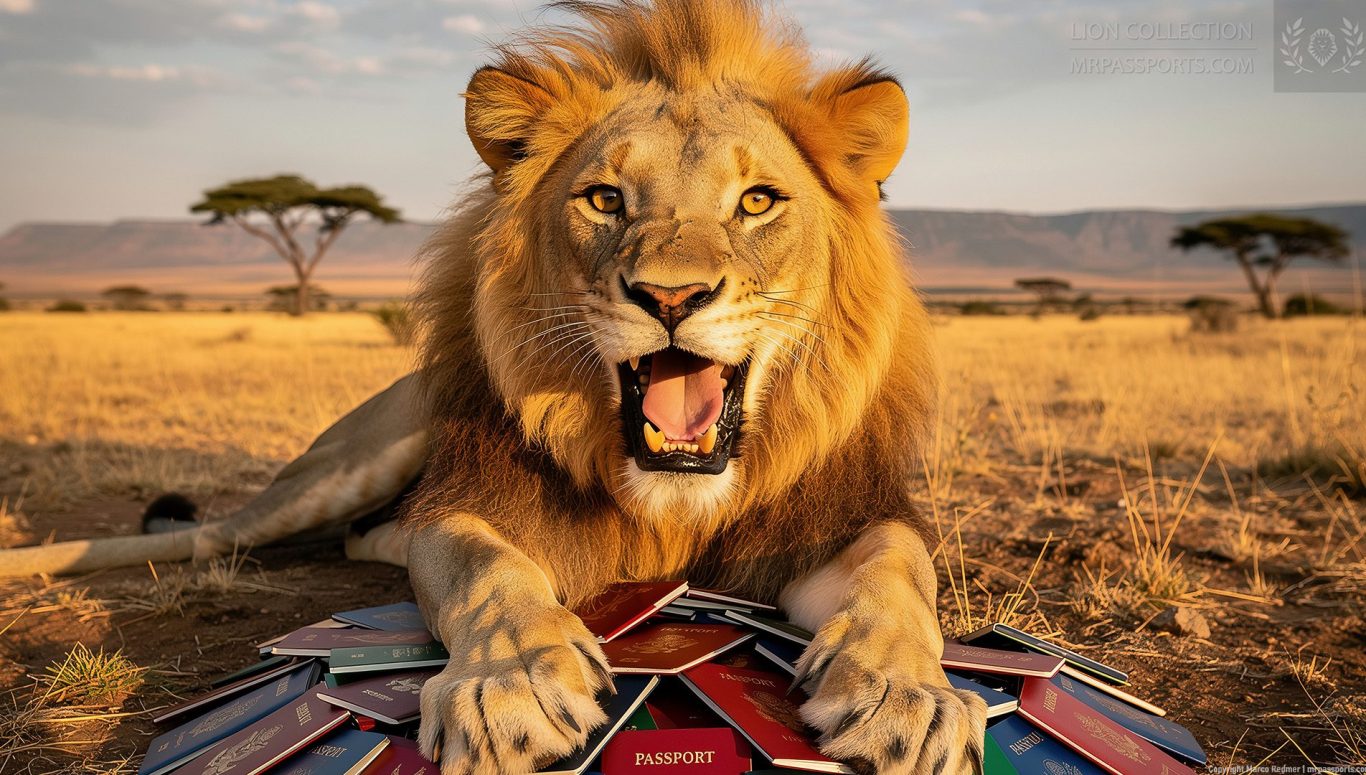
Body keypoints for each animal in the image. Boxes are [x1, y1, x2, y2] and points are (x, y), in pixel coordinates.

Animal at [0, 0, 988, 772]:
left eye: (756, 202)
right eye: (604, 199)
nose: (670, 296)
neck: (671, 497)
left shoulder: (837, 516)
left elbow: (900, 573)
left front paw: (908, 696)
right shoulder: (471, 503)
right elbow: (489, 569)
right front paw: (510, 685)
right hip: (359, 456)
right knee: (210, 532)